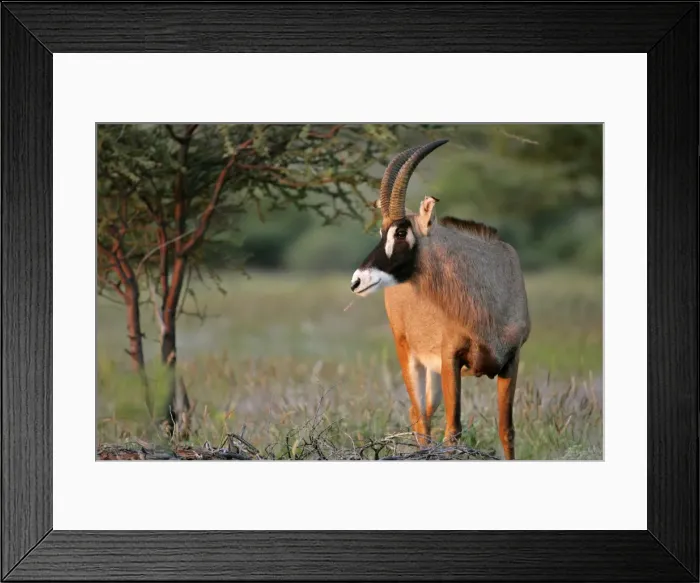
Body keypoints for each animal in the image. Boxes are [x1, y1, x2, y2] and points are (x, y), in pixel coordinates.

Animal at [350, 139, 531, 460]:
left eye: (400, 231)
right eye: (382, 231)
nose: (357, 280)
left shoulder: (512, 360)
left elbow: (506, 431)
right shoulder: (451, 359)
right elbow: (453, 431)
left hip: (433, 371)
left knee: (423, 414)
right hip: (409, 355)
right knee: (420, 416)